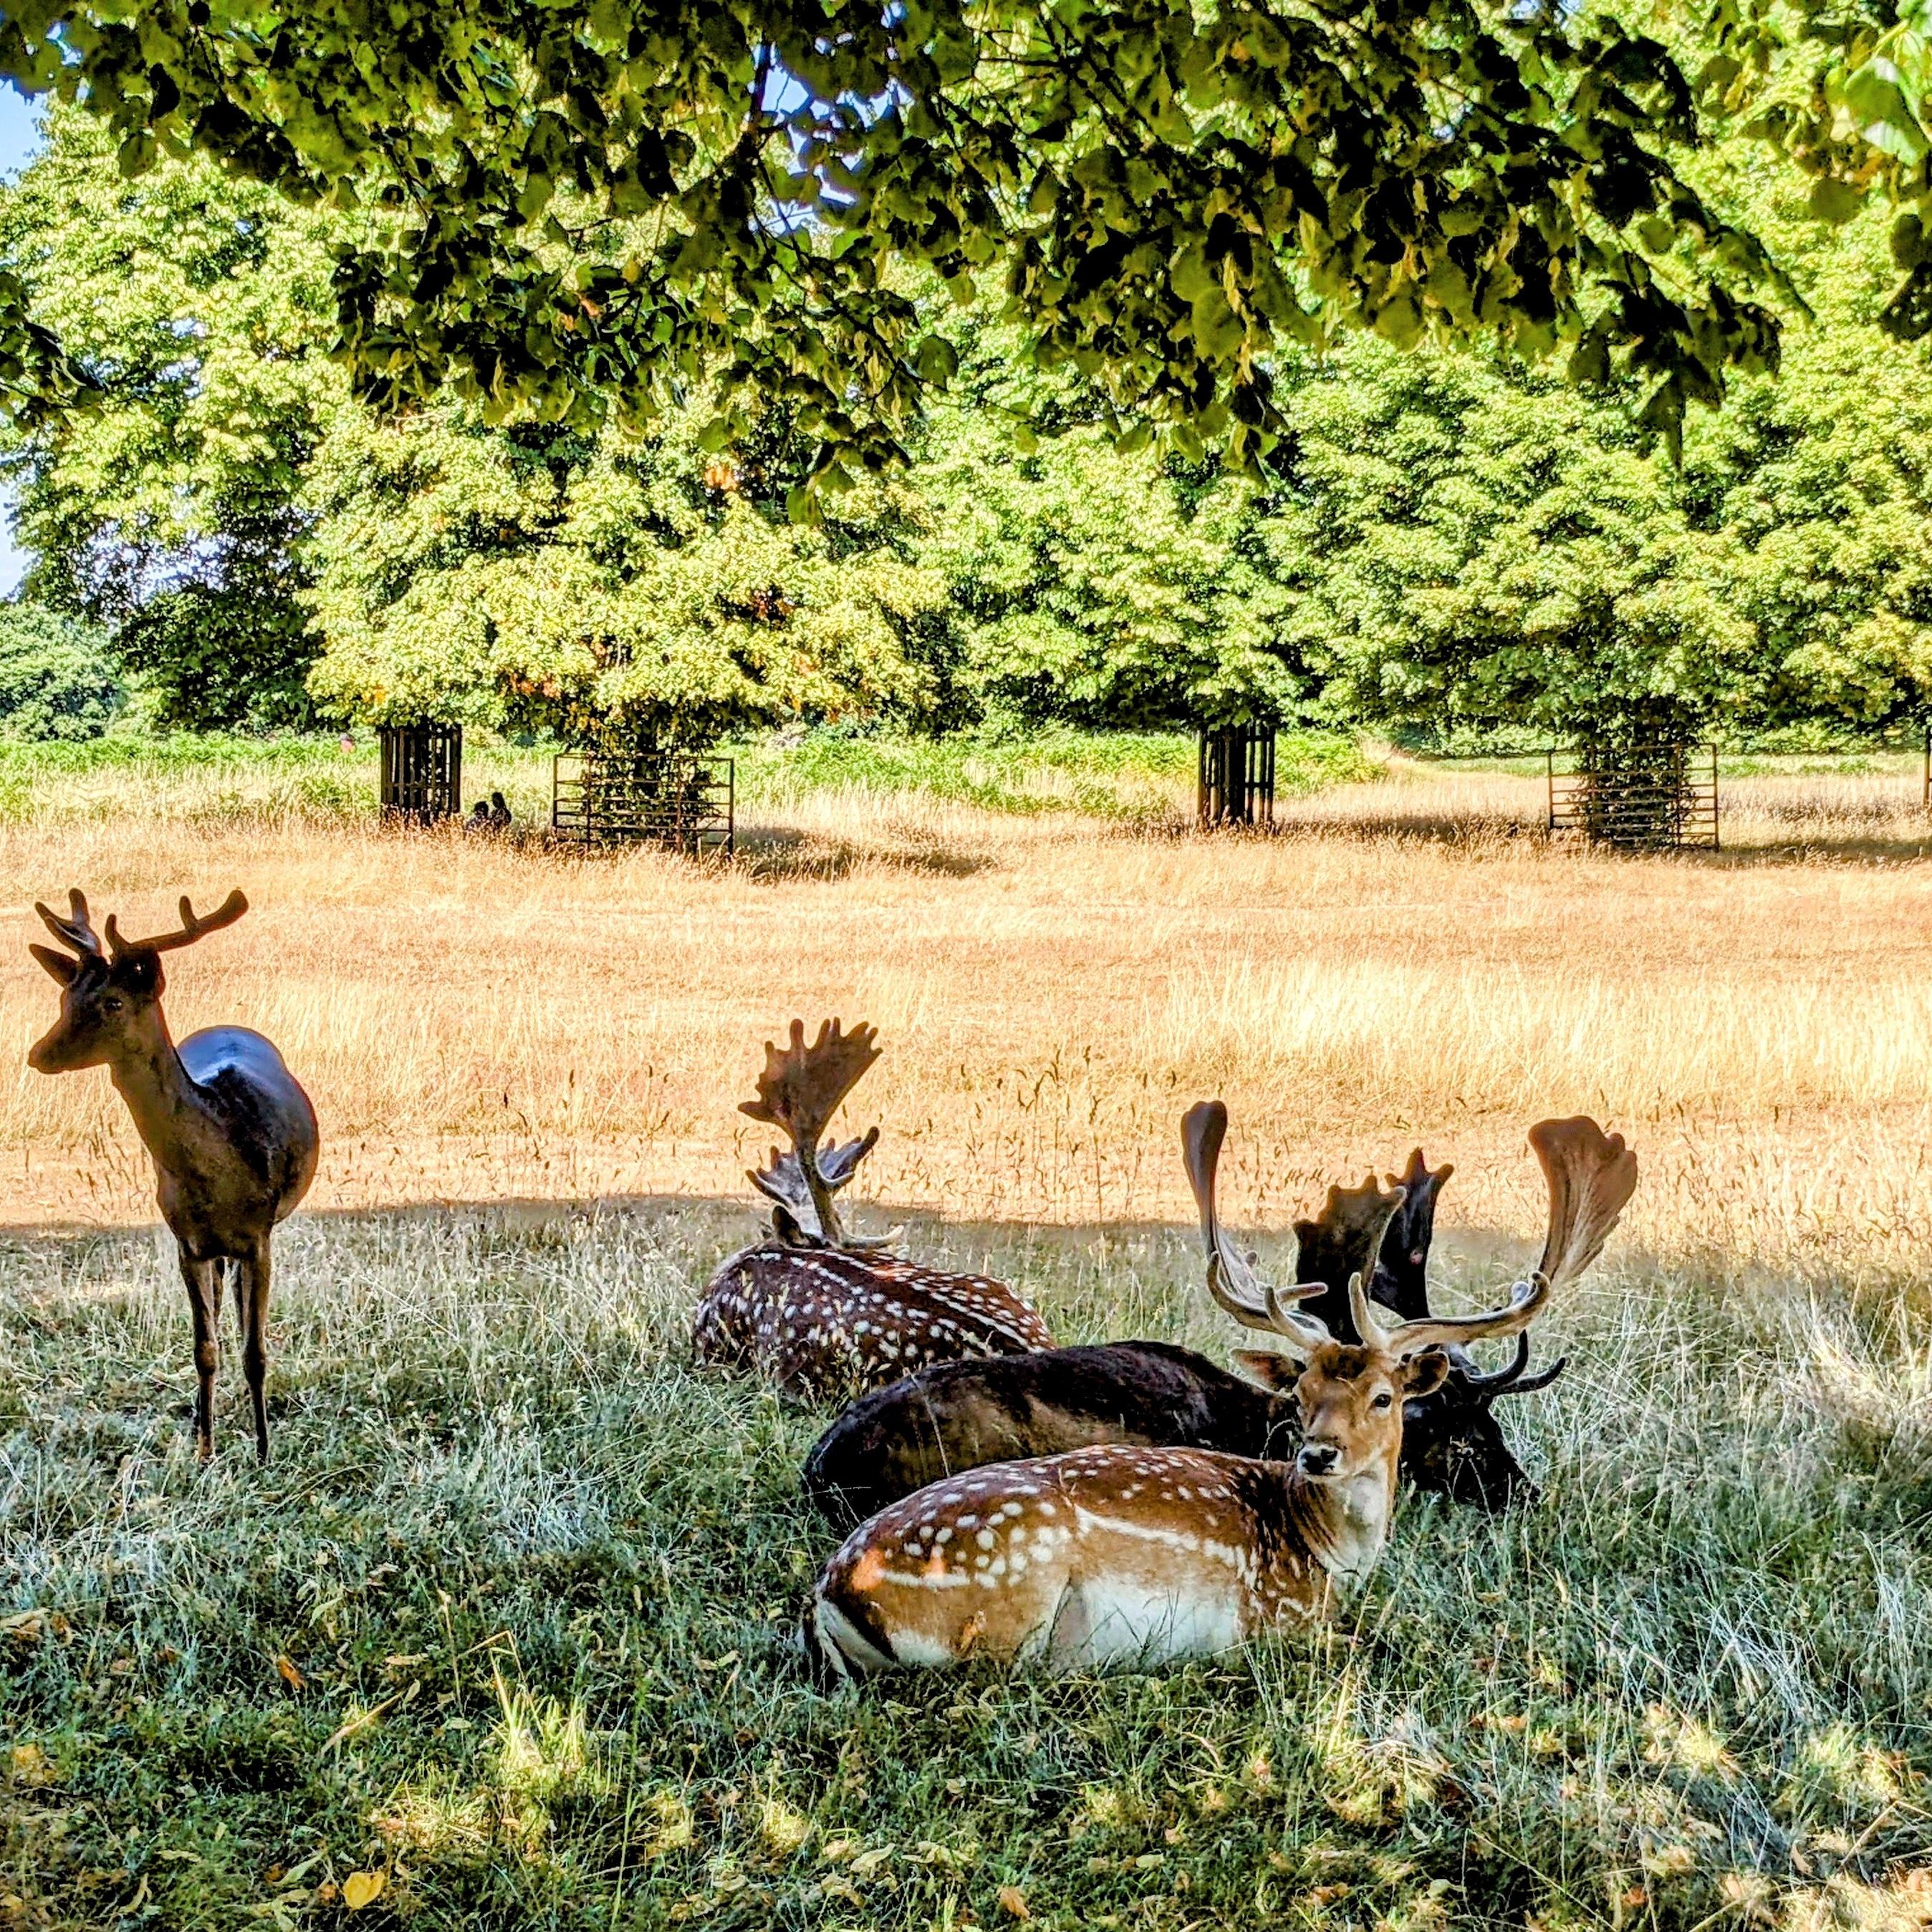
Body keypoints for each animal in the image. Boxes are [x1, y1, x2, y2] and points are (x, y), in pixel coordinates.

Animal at [26, 889, 319, 1461]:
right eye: (65, 997)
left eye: (114, 1003)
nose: (39, 1054)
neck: (218, 1173)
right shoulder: (187, 1241)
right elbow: (204, 1347)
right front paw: (204, 1448)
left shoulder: (260, 1236)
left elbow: (256, 1351)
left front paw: (263, 1450)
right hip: (213, 1250)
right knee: (223, 1311)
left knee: (242, 1312)